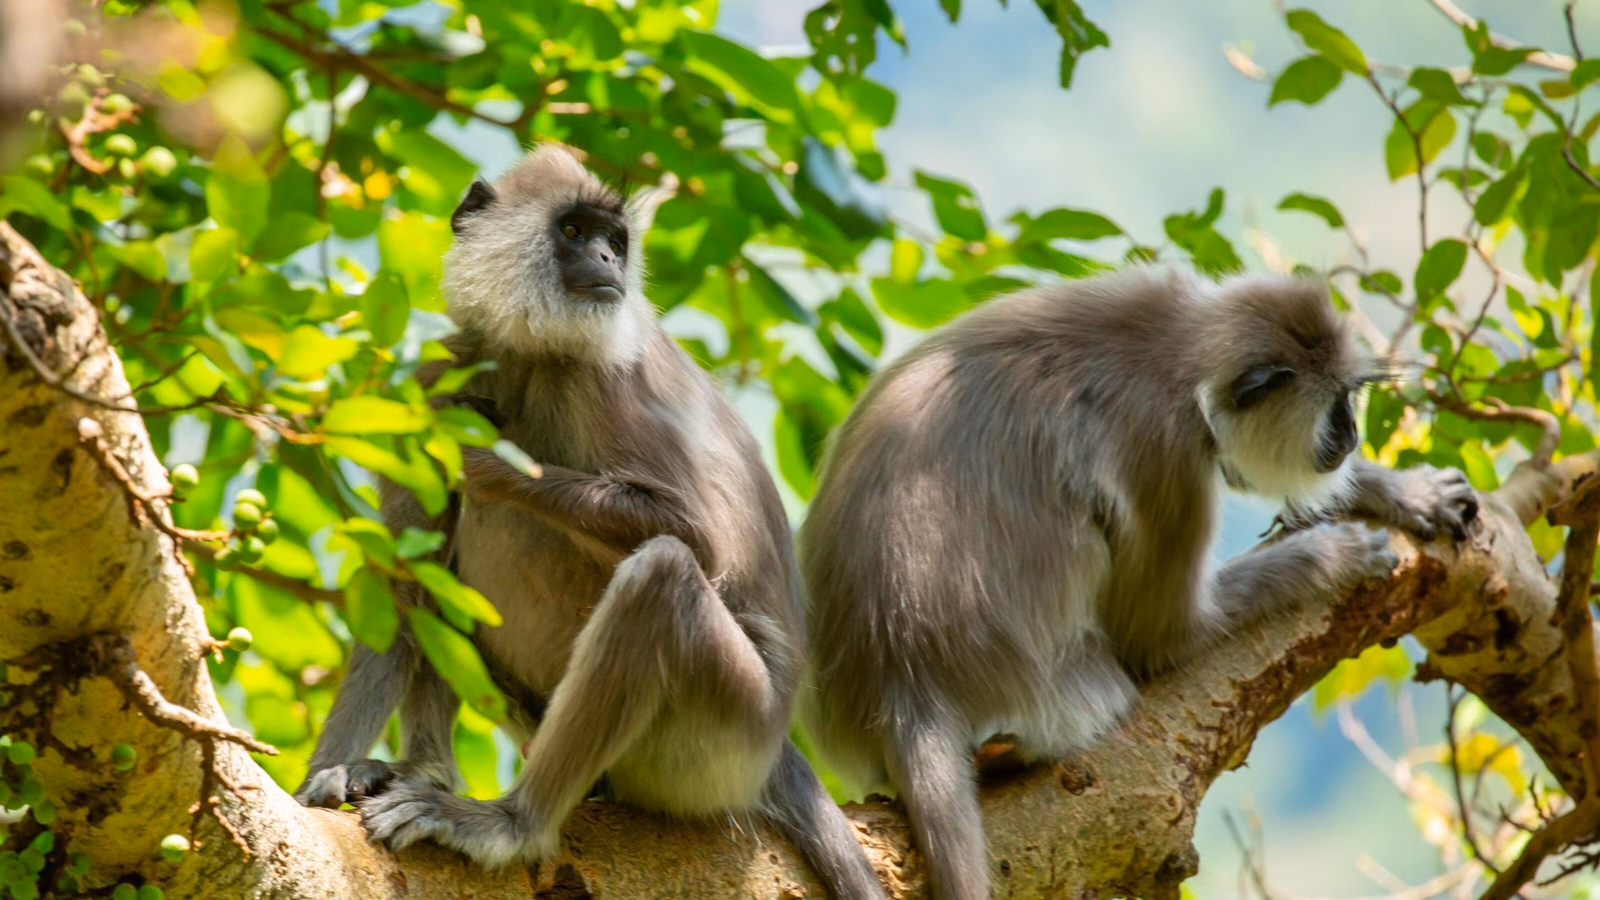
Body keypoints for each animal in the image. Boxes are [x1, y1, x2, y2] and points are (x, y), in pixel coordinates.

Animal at [293, 145, 884, 900]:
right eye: (574, 232)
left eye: (615, 241)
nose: (605, 259)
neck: (527, 353)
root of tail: (776, 748)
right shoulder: (431, 378)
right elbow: (400, 577)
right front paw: (326, 775)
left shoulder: (605, 374)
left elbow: (698, 539)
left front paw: (482, 456)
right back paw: (424, 771)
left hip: (724, 736)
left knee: (661, 574)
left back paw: (511, 825)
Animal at [795, 268, 1479, 900]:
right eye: (1333, 406)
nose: (1351, 436)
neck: (1177, 350)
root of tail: (904, 681)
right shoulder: (1167, 445)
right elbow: (1164, 637)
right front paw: (1329, 556)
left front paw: (1402, 492)